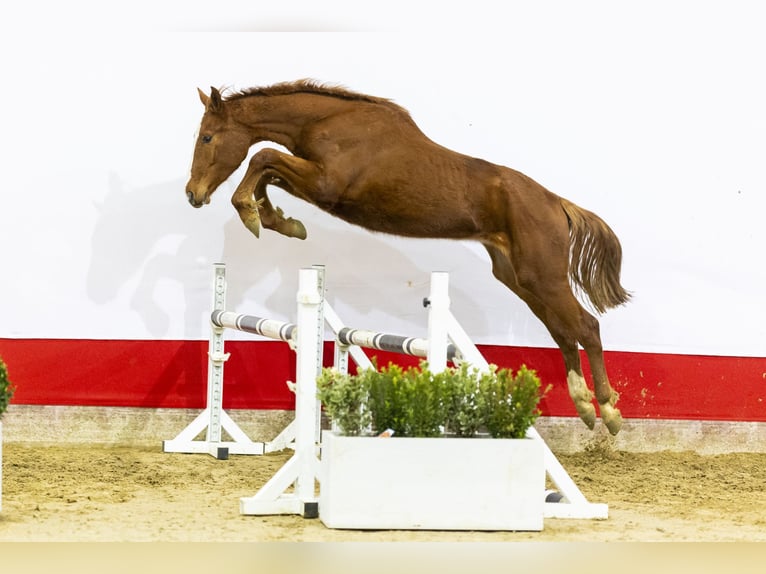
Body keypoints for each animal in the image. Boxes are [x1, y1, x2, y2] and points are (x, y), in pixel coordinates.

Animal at [184, 79, 632, 434]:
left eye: (207, 138)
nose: (193, 194)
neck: (327, 123)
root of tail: (556, 203)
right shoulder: (312, 181)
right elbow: (268, 171)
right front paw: (279, 220)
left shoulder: (326, 184)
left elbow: (263, 159)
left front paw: (255, 215)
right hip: (520, 278)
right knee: (564, 332)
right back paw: (585, 407)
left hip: (543, 276)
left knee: (586, 326)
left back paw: (608, 411)